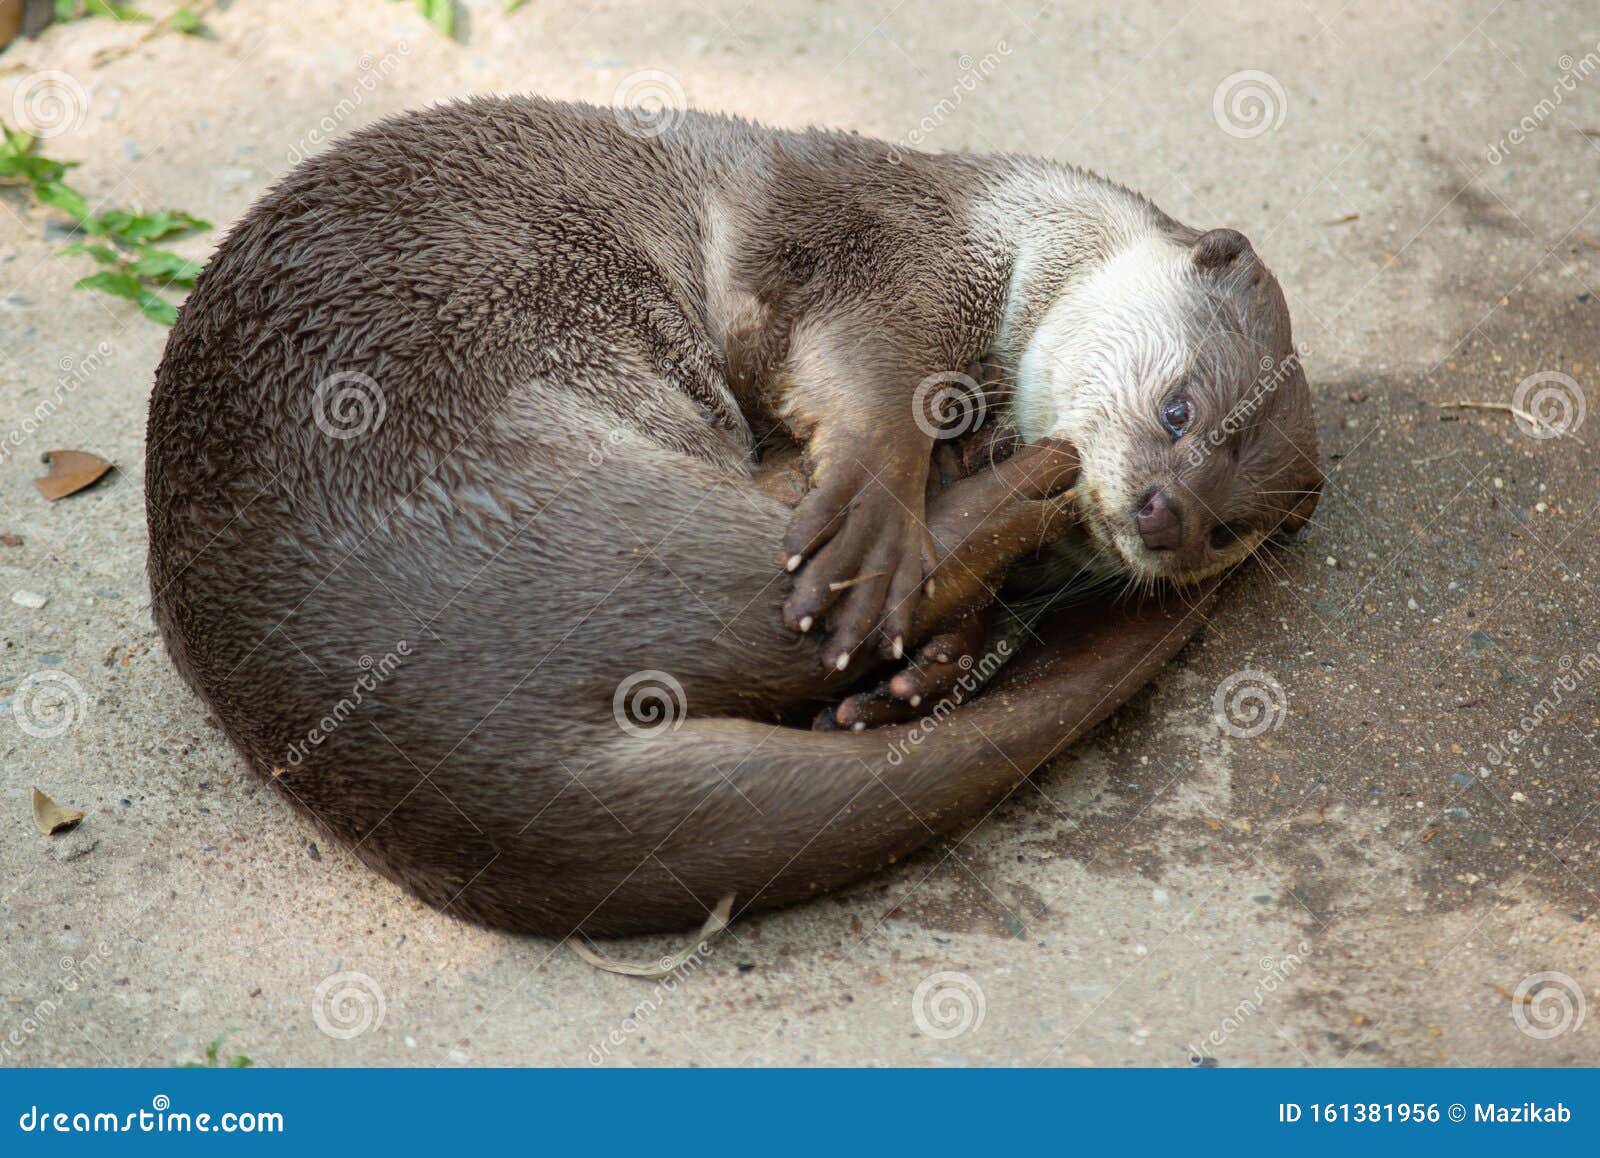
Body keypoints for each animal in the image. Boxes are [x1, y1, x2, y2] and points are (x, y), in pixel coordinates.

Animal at [144, 98, 1320, 937]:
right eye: (1179, 408)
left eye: (1228, 529)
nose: (1165, 516)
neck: (995, 232)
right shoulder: (876, 246)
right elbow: (870, 376)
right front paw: (886, 491)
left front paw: (932, 663)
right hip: (553, 489)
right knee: (798, 583)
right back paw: (943, 519)